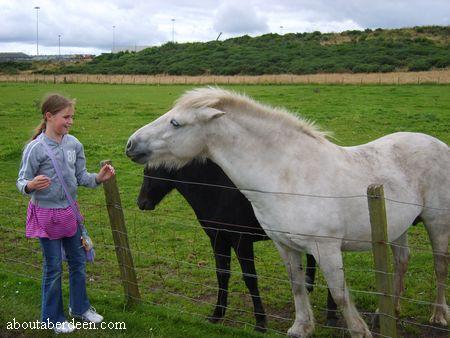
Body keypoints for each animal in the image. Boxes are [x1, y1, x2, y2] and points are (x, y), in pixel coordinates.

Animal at [137, 160, 338, 332]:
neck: (217, 190)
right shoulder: (217, 239)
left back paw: (332, 316)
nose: (141, 203)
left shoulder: (242, 241)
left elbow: (250, 278)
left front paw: (260, 322)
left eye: (149, 171)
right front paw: (217, 314)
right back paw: (309, 286)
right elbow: (222, 274)